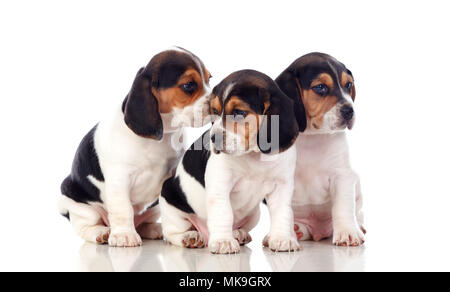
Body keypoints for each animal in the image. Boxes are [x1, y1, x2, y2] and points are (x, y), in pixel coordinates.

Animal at [59, 47, 212, 246]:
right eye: (189, 85)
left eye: (209, 79)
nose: (216, 103)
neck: (161, 137)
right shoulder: (119, 179)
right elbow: (123, 209)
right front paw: (124, 235)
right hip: (79, 204)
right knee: (86, 225)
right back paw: (101, 232)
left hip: (153, 208)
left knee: (144, 223)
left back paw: (158, 230)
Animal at [159, 70, 302, 253]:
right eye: (214, 110)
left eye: (239, 112)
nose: (213, 138)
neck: (253, 156)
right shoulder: (220, 186)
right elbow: (223, 213)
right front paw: (223, 241)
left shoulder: (281, 187)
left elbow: (283, 213)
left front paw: (282, 238)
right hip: (169, 200)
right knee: (172, 233)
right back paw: (191, 237)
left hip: (254, 214)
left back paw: (240, 234)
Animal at [276, 52, 368, 246]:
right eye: (320, 88)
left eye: (348, 85)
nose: (350, 111)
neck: (313, 138)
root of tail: (318, 232)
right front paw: (283, 237)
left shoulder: (342, 176)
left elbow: (343, 206)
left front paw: (348, 232)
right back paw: (298, 230)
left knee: (358, 211)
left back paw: (358, 227)